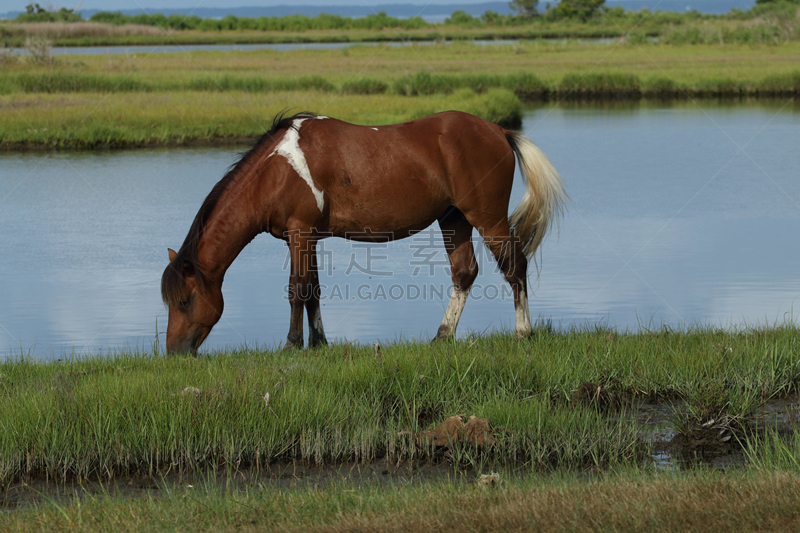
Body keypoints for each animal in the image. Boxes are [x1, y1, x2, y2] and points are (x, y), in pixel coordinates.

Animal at [161, 110, 564, 354]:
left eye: (184, 301)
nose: (174, 352)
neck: (275, 171)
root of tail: (498, 130)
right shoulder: (308, 238)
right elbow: (313, 289)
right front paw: (319, 342)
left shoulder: (299, 233)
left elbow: (297, 289)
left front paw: (292, 344)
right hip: (454, 219)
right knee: (465, 272)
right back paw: (442, 335)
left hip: (486, 217)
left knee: (515, 266)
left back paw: (523, 332)